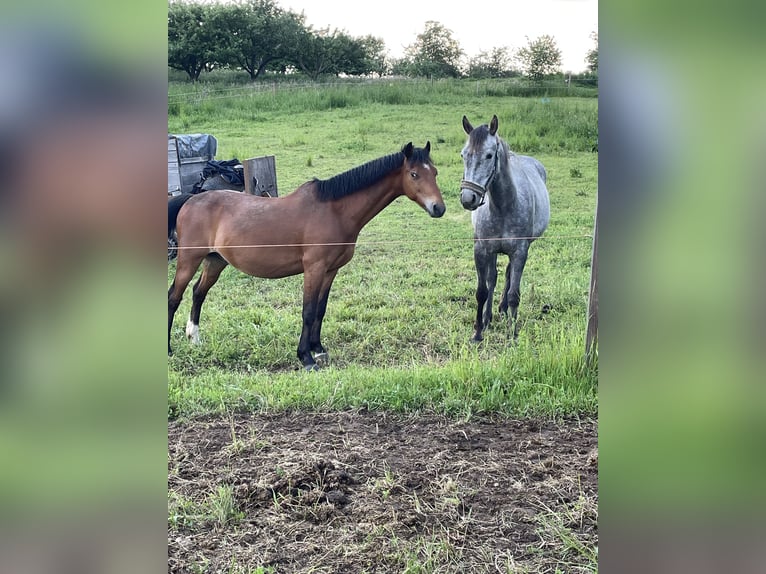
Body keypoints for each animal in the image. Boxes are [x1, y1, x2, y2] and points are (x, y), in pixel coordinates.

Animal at [168, 142, 444, 372]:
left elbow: (321, 309)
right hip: (189, 261)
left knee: (198, 293)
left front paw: (318, 349)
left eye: (435, 172)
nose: (438, 208)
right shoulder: (314, 268)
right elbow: (308, 311)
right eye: (414, 174)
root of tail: (191, 200)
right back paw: (169, 349)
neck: (334, 210)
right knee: (174, 297)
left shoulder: (331, 270)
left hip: (215, 261)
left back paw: (194, 338)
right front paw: (306, 357)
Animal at [462, 115, 552, 344]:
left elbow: (514, 294)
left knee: (509, 276)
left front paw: (512, 334)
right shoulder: (481, 250)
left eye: (489, 155)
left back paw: (502, 310)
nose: (468, 198)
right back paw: (488, 317)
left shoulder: (520, 251)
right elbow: (482, 291)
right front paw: (478, 332)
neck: (502, 205)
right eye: (463, 155)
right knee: (493, 278)